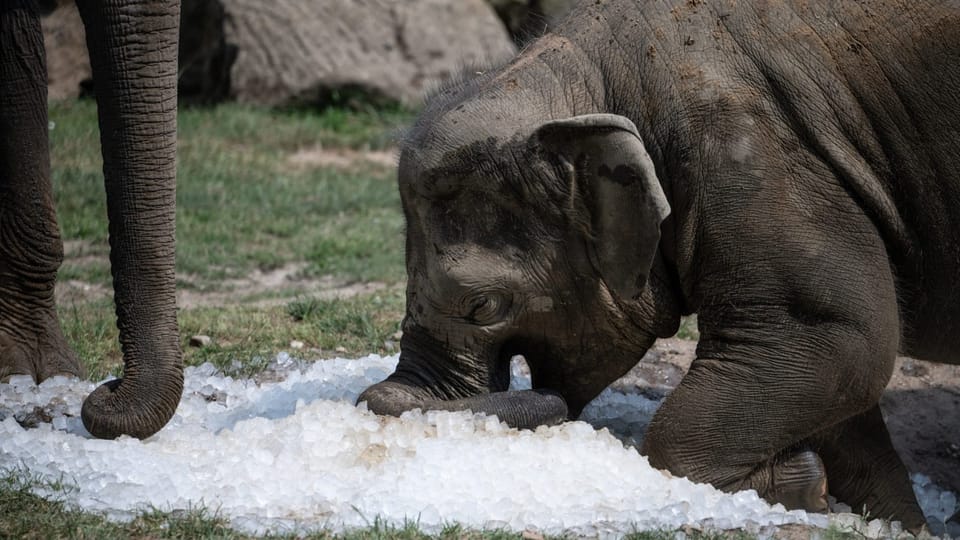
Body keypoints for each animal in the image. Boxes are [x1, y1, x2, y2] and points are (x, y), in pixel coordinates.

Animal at [360, 0, 960, 528]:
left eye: (482, 305)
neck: (599, 75)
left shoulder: (754, 159)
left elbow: (836, 339)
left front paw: (797, 487)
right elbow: (842, 377)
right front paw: (880, 517)